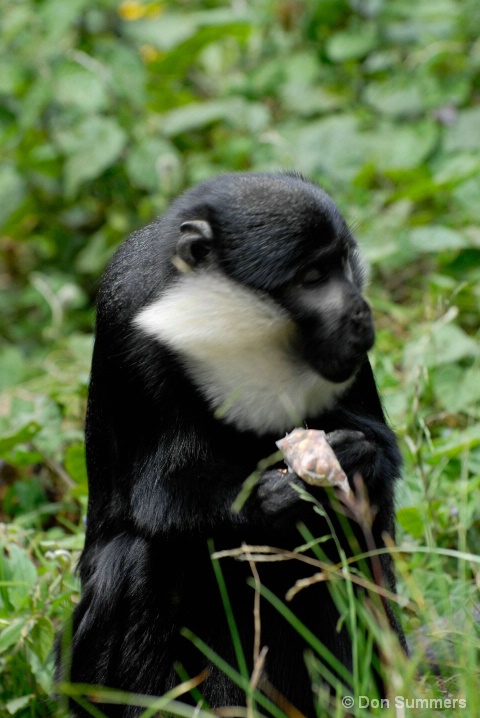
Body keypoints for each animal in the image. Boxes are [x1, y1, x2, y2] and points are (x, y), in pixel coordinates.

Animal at [58, 174, 406, 718]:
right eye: (312, 276)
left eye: (342, 265)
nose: (359, 312)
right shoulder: (129, 318)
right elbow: (155, 493)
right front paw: (270, 498)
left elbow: (377, 461)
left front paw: (354, 460)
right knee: (138, 557)